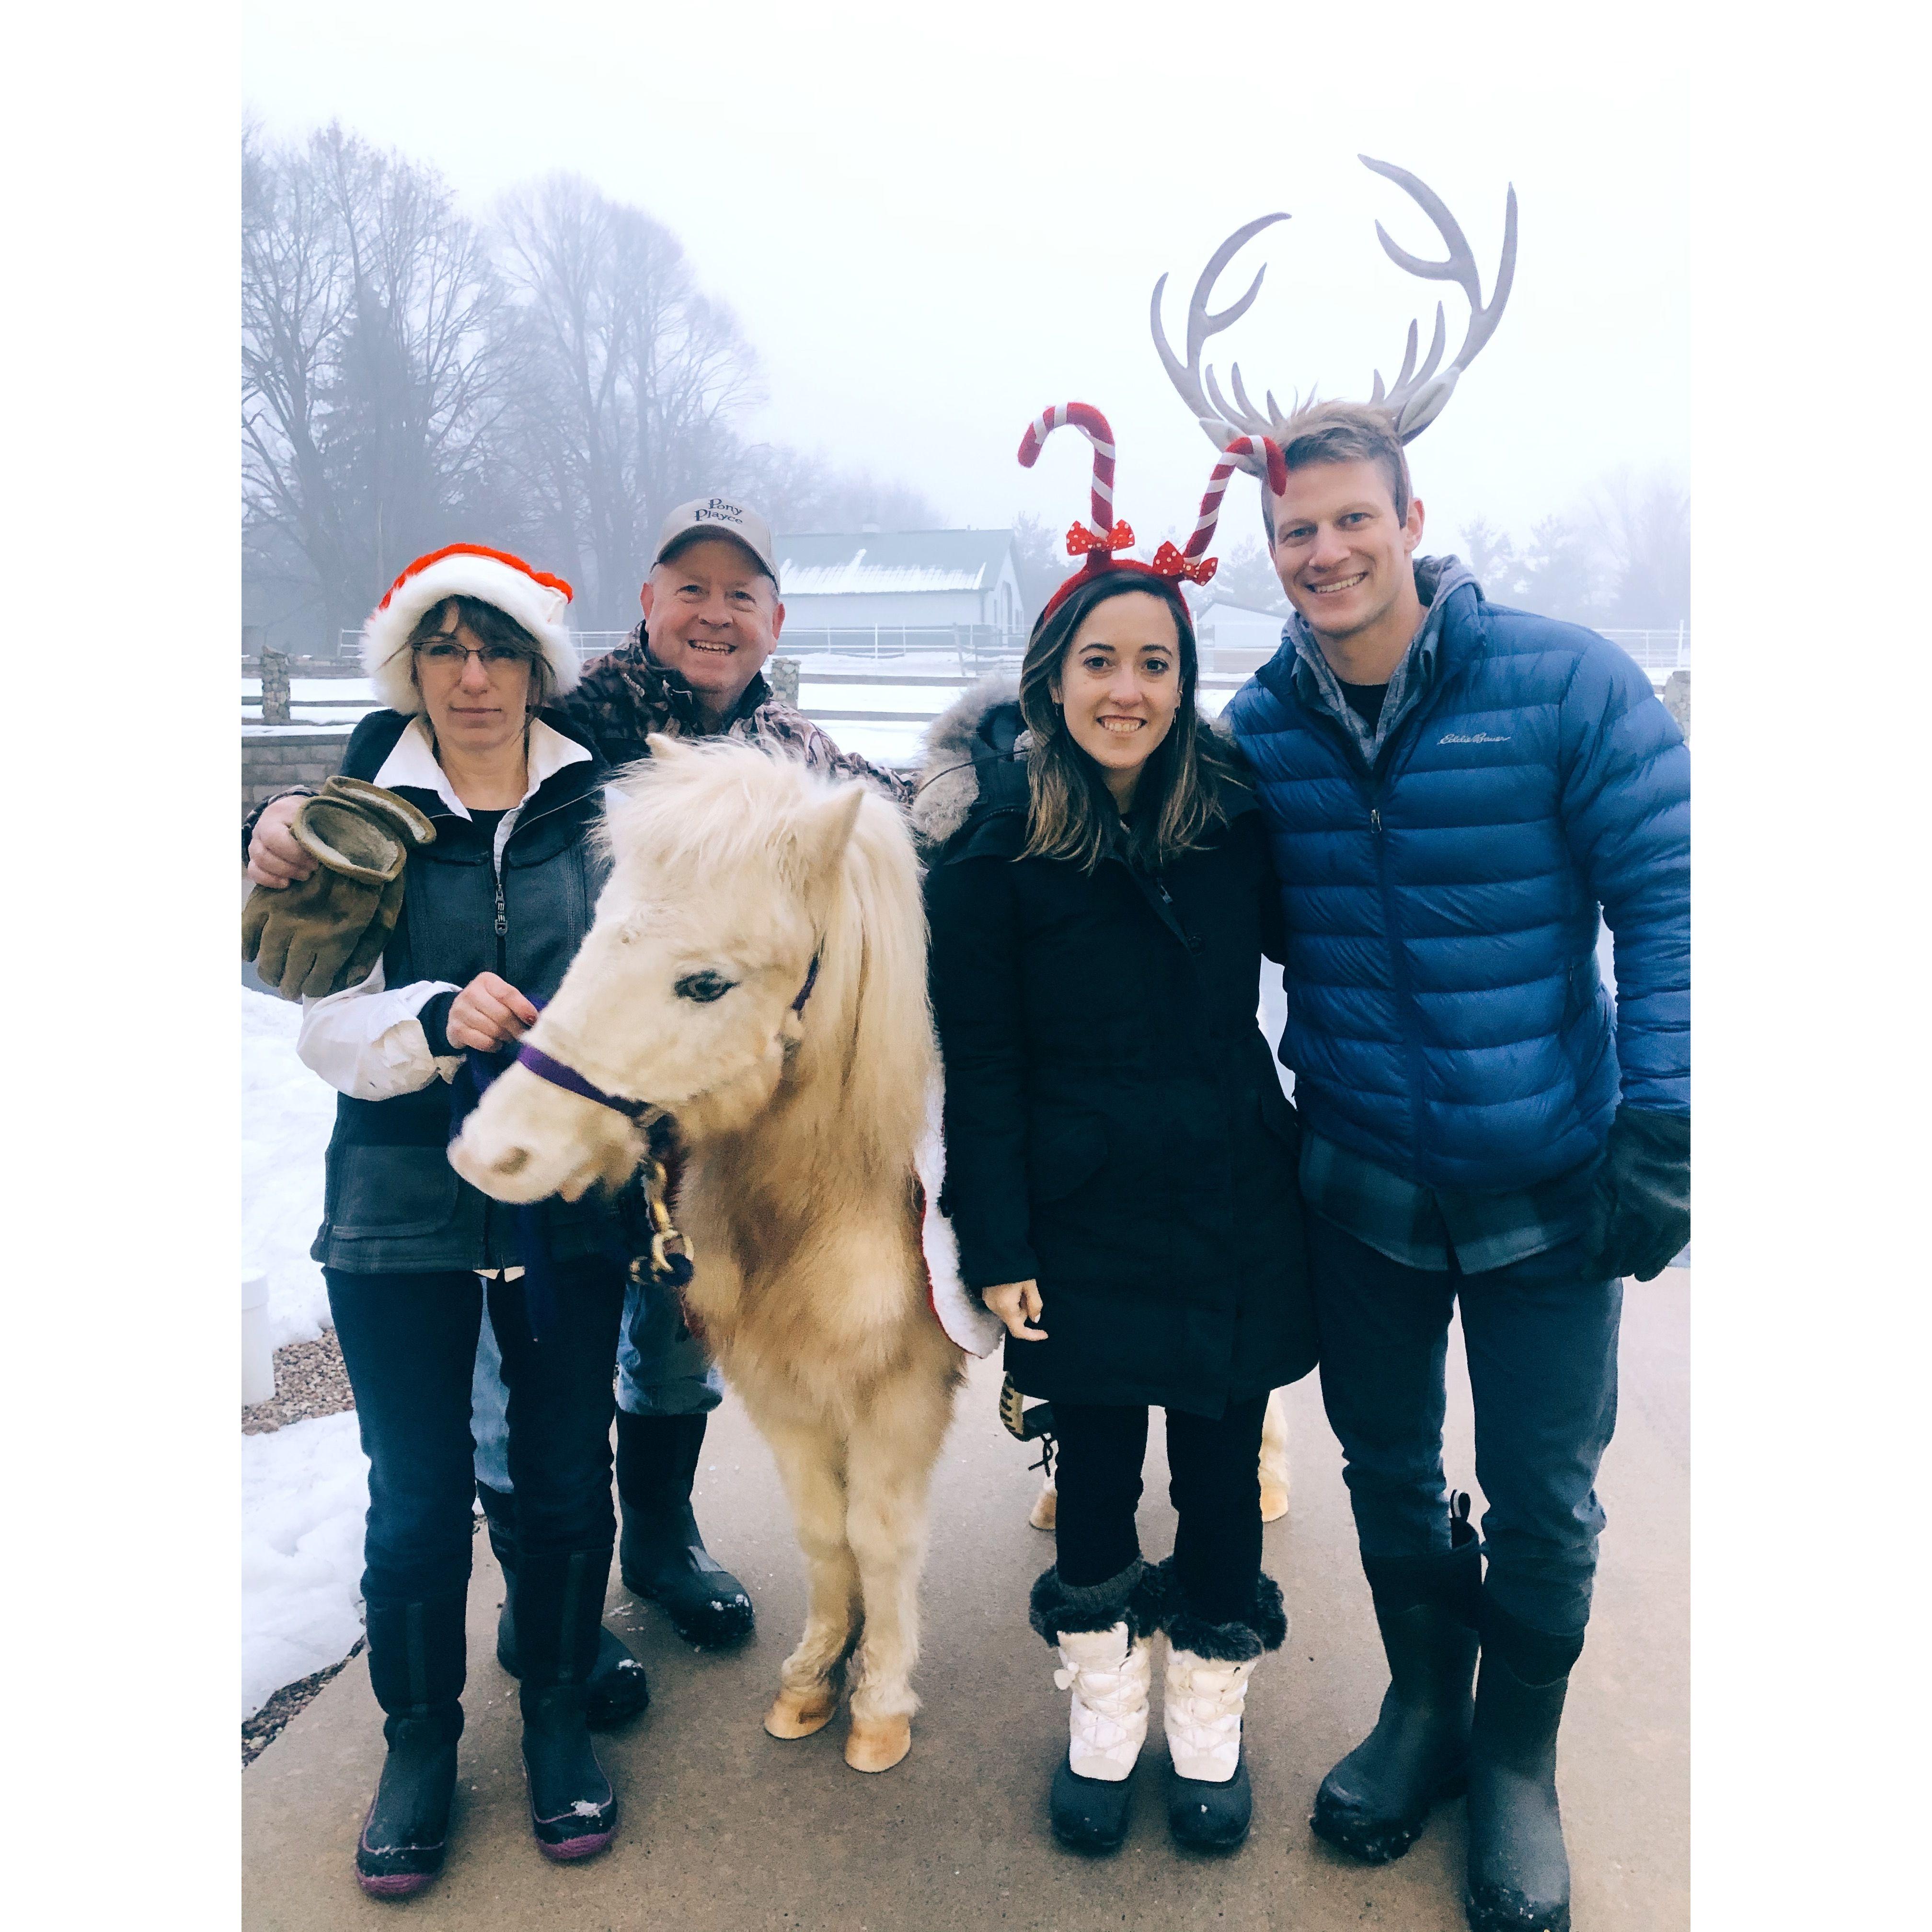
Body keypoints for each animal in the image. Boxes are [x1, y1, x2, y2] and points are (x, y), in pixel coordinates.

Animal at [448, 734, 966, 1770]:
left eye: (706, 983)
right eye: (598, 932)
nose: (491, 1152)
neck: (823, 1201)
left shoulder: (899, 1394)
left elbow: (879, 1536)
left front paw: (880, 1703)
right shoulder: (783, 1392)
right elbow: (824, 1533)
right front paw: (815, 1676)